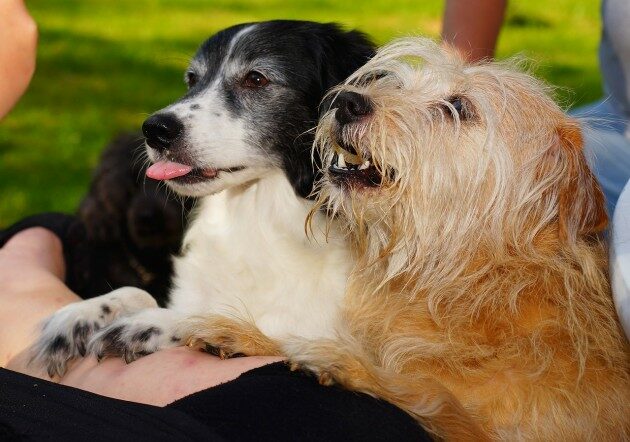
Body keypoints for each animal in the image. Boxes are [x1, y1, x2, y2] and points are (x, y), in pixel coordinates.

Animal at [30, 20, 376, 376]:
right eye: (192, 79)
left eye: (256, 79)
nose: (155, 129)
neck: (255, 217)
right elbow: (137, 291)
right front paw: (83, 314)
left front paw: (155, 324)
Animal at [186, 38, 630, 442]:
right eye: (398, 85)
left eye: (458, 107)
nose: (346, 100)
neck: (465, 279)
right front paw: (251, 336)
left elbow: (430, 395)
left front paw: (348, 364)